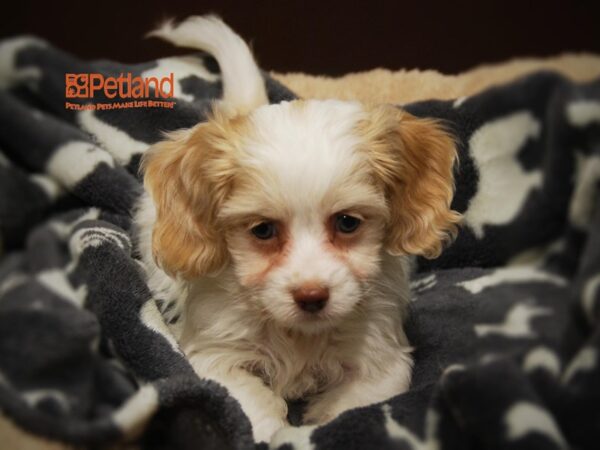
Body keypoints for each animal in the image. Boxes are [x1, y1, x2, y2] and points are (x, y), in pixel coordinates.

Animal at [135, 16, 460, 442]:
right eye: (262, 230)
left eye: (347, 222)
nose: (311, 296)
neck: (299, 337)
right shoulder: (215, 355)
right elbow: (252, 405)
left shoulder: (380, 360)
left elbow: (353, 407)